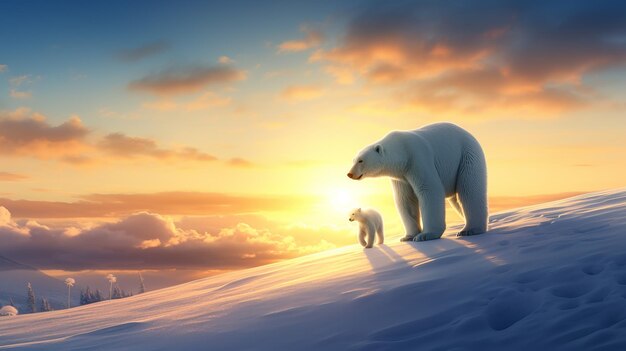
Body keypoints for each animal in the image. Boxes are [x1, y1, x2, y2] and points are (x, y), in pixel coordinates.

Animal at [346, 123, 488, 242]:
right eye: (353, 160)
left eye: (361, 160)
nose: (350, 174)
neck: (402, 151)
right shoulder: (400, 176)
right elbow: (405, 200)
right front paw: (408, 236)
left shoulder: (417, 160)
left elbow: (429, 189)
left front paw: (425, 235)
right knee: (457, 200)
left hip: (466, 156)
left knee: (469, 191)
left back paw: (469, 230)